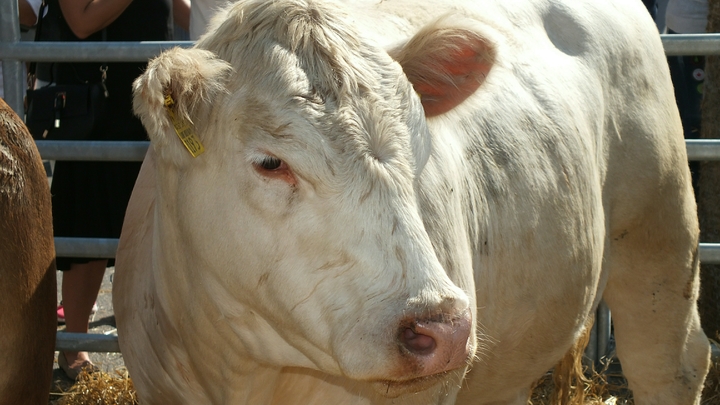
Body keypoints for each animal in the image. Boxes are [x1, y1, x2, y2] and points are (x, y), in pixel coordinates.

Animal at [115, 0, 712, 402]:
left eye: (418, 146)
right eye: (270, 162)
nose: (443, 329)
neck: (243, 369)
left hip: (660, 236)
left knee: (671, 362)